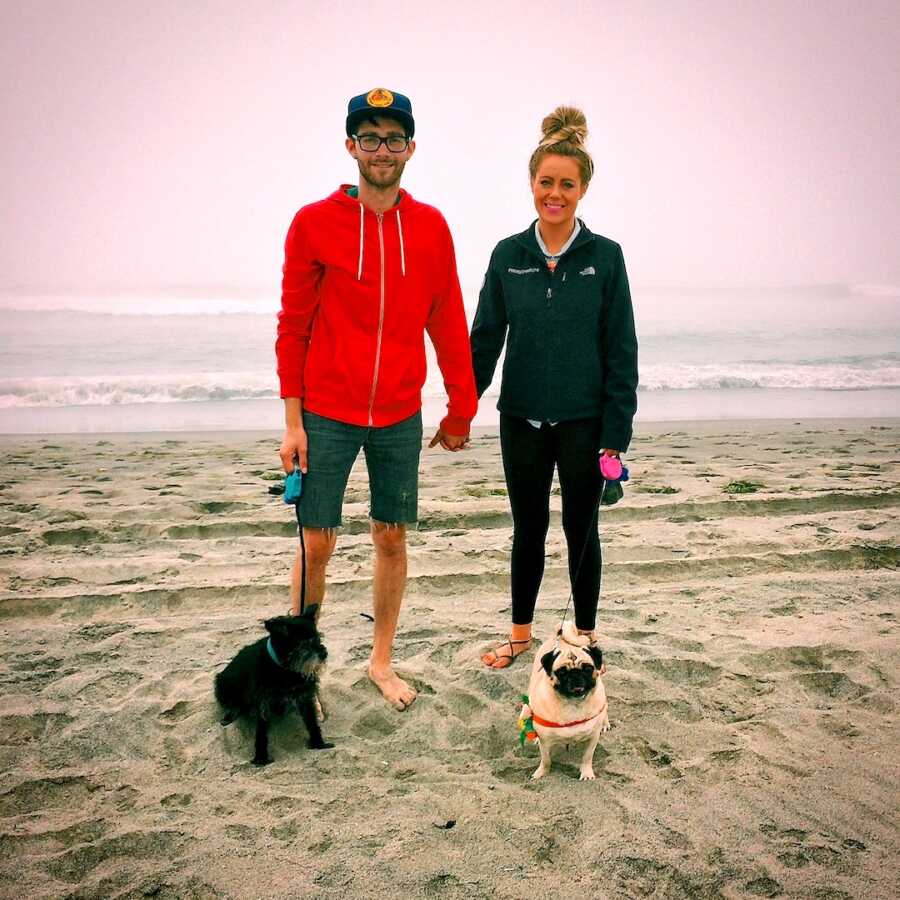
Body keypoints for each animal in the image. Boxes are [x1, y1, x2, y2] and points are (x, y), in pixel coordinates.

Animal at [214, 604, 334, 768]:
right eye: (302, 644)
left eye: (317, 638)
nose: (324, 654)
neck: (286, 670)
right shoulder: (263, 703)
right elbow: (261, 732)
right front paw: (261, 757)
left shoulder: (304, 696)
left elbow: (311, 722)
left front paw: (318, 743)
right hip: (222, 683)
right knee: (231, 703)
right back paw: (230, 714)